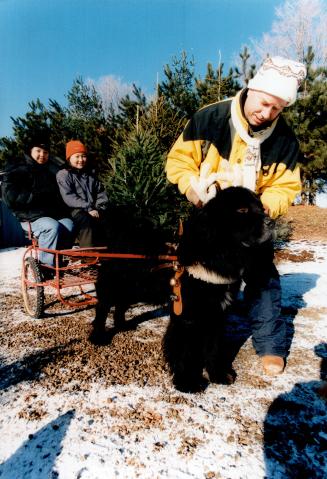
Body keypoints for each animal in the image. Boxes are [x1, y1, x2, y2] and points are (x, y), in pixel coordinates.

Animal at [163, 186, 274, 392]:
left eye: (261, 207)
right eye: (242, 210)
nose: (271, 222)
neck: (220, 255)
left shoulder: (217, 316)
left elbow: (213, 348)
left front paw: (219, 375)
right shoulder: (187, 316)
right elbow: (185, 352)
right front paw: (187, 381)